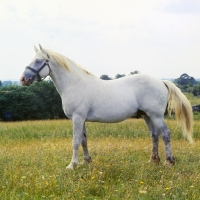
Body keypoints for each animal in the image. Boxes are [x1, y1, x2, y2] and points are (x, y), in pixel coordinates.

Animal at [20, 43, 194, 169]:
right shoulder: (82, 119)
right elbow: (83, 140)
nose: (23, 79)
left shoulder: (77, 118)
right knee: (154, 135)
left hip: (156, 115)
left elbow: (75, 141)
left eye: (38, 61)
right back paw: (153, 161)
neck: (75, 84)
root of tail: (161, 81)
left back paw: (169, 162)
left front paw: (72, 165)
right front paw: (87, 161)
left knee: (165, 134)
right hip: (147, 115)